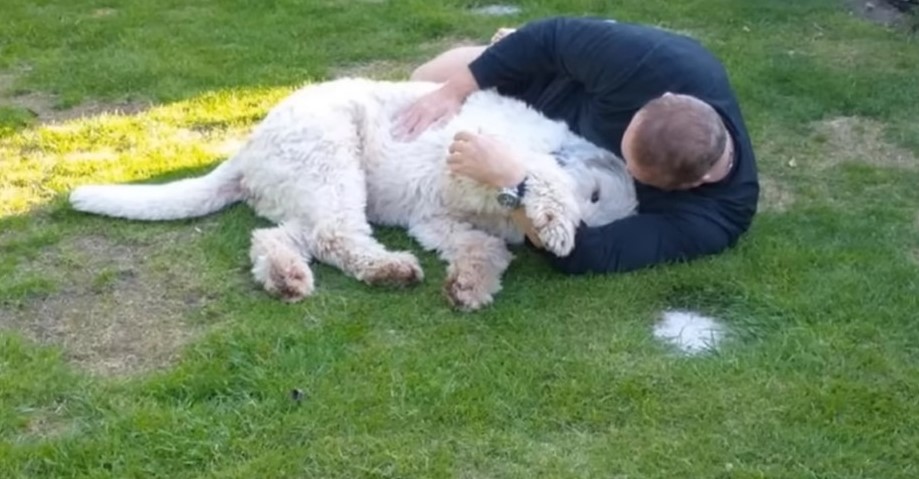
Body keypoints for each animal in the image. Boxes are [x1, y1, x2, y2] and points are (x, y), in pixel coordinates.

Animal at [70, 79, 640, 312]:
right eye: (592, 195)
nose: (574, 228)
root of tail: (249, 148)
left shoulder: (436, 219)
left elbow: (484, 248)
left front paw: (470, 286)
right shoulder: (465, 160)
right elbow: (533, 175)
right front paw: (555, 222)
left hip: (307, 191)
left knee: (278, 238)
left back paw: (286, 277)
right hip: (332, 162)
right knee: (335, 234)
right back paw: (390, 269)